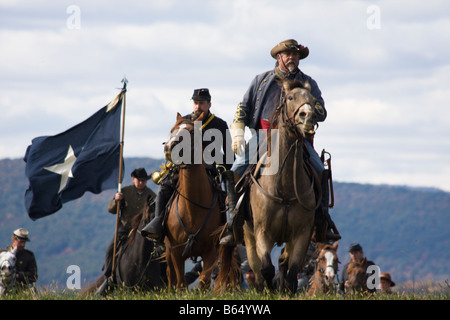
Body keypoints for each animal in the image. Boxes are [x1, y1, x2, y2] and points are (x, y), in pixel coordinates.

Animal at [163, 112, 239, 290]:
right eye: (172, 130)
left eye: (191, 132)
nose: (169, 147)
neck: (192, 208)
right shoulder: (175, 251)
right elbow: (180, 283)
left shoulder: (210, 252)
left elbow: (203, 282)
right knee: (170, 276)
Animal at [243, 80, 320, 292]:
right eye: (291, 97)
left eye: (313, 100)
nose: (308, 116)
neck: (284, 187)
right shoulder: (262, 232)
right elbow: (266, 269)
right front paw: (269, 290)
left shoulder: (302, 234)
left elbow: (292, 272)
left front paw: (285, 288)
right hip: (249, 236)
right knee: (257, 268)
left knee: (284, 262)